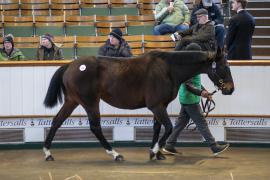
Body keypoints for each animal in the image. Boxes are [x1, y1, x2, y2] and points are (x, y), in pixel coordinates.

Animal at [42, 48, 234, 162]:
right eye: (224, 67)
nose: (230, 89)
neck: (168, 69)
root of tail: (71, 65)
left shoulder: (160, 106)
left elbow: (158, 128)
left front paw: (157, 153)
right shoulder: (156, 106)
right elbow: (169, 127)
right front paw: (154, 151)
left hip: (72, 101)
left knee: (56, 121)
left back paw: (48, 153)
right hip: (90, 102)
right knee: (95, 127)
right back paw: (115, 154)